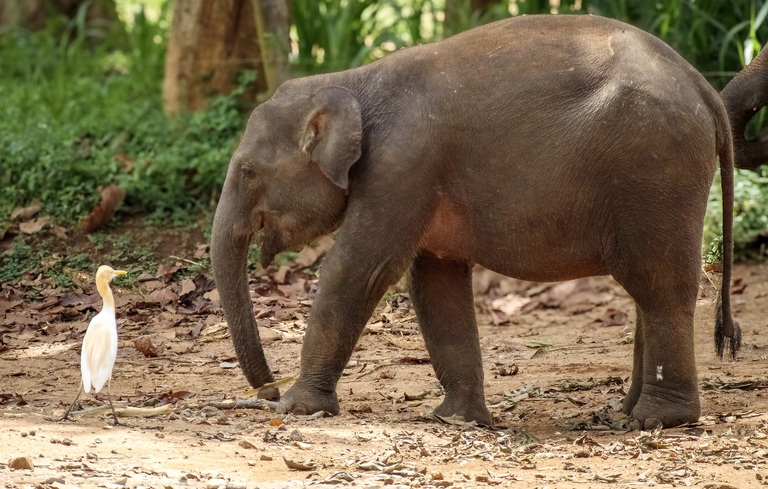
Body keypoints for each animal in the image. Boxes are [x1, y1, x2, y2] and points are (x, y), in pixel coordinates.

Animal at [211, 14, 741, 429]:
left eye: (247, 170)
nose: (266, 390)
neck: (352, 80)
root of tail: (705, 89)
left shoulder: (402, 165)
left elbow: (359, 269)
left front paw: (298, 408)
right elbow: (435, 282)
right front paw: (456, 419)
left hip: (655, 167)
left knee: (658, 282)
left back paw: (659, 419)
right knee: (645, 289)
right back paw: (625, 412)